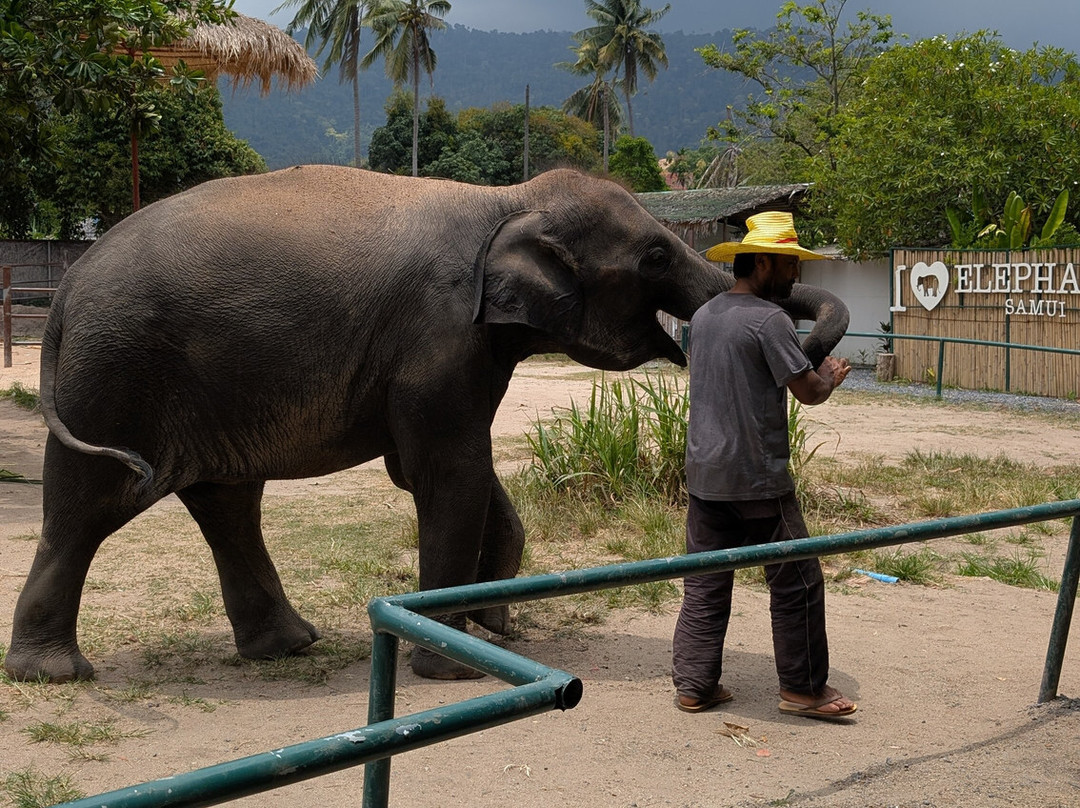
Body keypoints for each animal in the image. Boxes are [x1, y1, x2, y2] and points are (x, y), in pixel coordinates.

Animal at [4, 166, 849, 682]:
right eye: (653, 257)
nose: (818, 361)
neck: (506, 200)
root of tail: (69, 282)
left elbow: (459, 476)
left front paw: (495, 630)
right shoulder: (438, 337)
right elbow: (449, 474)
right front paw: (455, 663)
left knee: (227, 503)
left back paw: (287, 647)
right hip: (115, 376)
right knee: (88, 505)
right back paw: (55, 673)